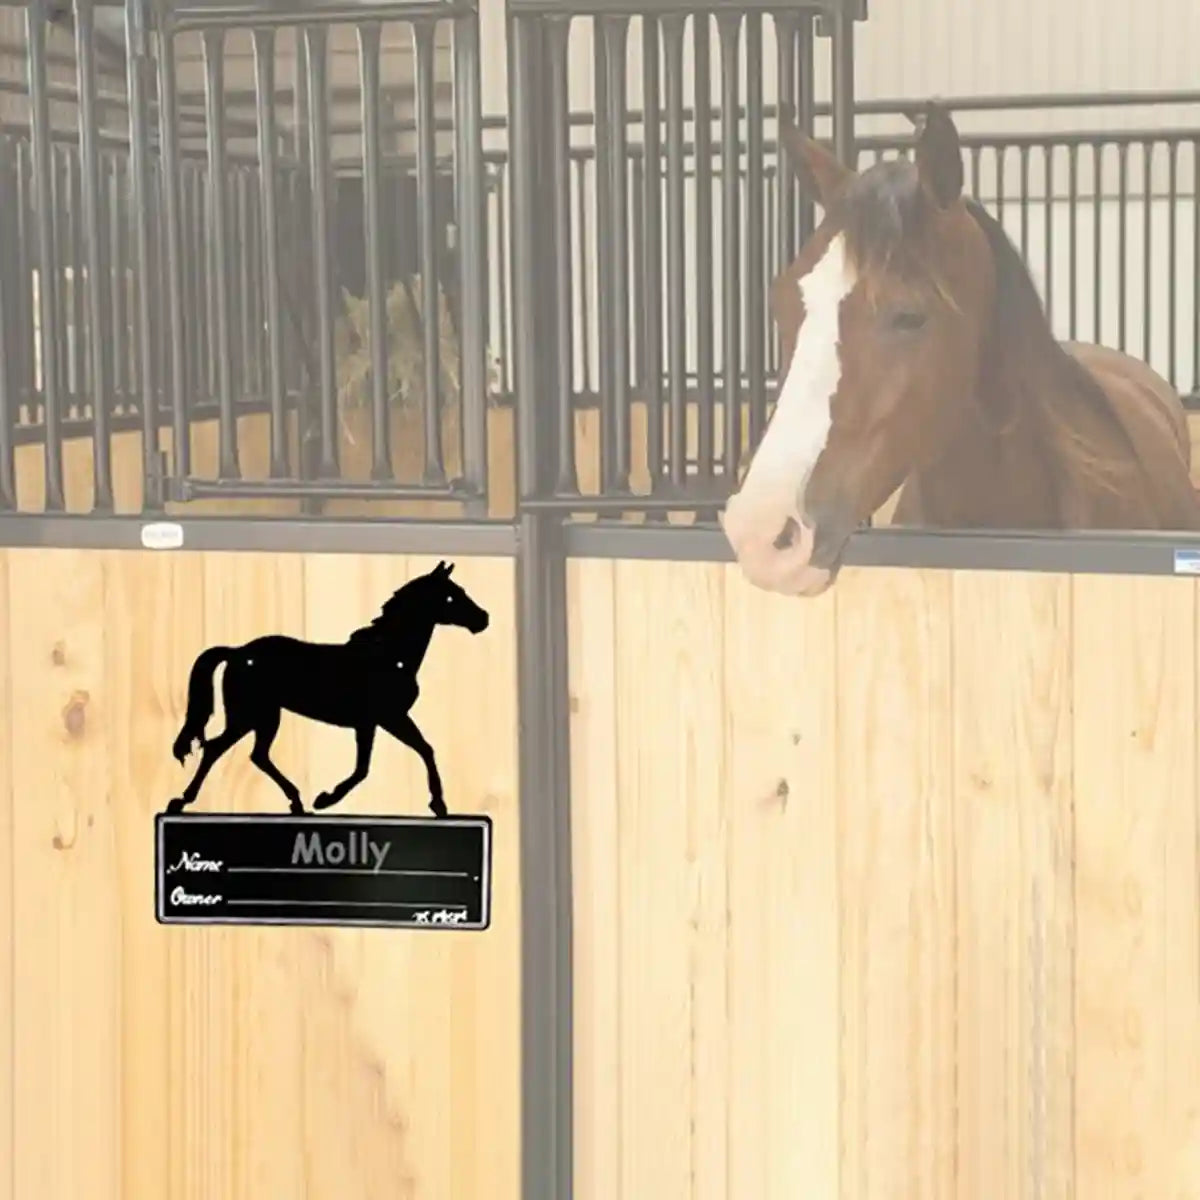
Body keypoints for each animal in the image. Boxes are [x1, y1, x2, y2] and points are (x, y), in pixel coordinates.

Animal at [165, 560, 490, 817]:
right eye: (451, 597)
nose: (483, 619)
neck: (388, 655)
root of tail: (236, 652)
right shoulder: (387, 718)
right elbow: (378, 764)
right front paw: (325, 799)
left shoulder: (375, 722)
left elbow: (405, 755)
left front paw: (438, 804)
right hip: (251, 715)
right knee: (219, 749)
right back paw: (182, 801)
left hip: (262, 716)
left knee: (255, 755)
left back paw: (296, 802)